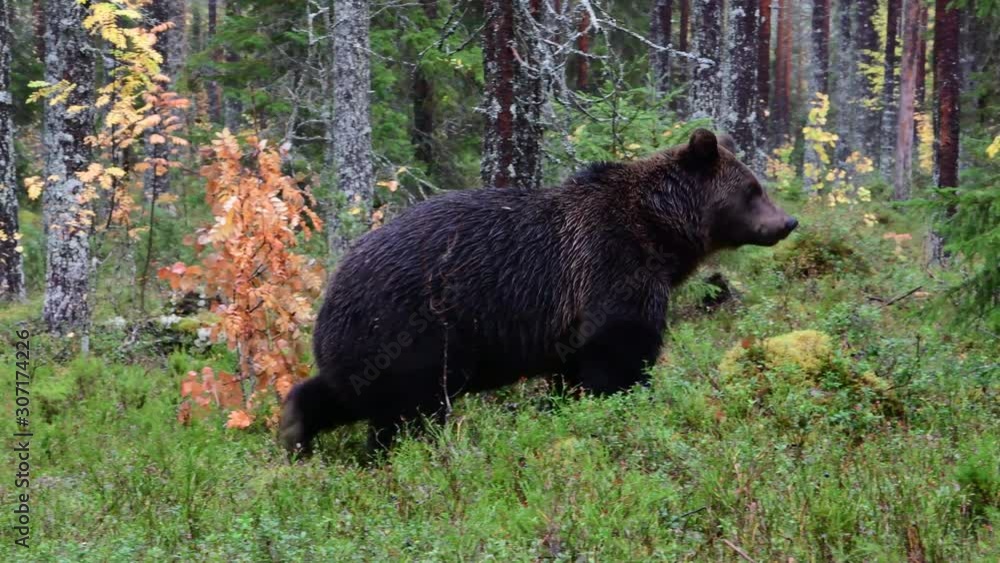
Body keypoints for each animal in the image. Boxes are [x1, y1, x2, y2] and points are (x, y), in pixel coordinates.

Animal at [279, 129, 798, 454]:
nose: (788, 221)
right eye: (752, 189)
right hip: (411, 328)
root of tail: (334, 286)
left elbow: (577, 371)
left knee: (346, 391)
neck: (660, 233)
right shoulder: (609, 269)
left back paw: (295, 431)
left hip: (370, 342)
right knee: (407, 412)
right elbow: (621, 356)